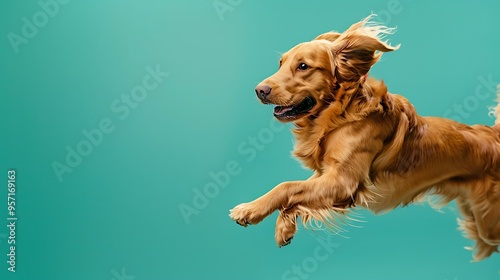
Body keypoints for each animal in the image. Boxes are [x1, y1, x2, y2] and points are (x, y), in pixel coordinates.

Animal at [229, 15, 500, 260]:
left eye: (303, 66)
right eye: (280, 63)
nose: (259, 90)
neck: (341, 113)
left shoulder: (343, 181)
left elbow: (286, 186)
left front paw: (250, 210)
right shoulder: (328, 174)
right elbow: (295, 191)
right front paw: (284, 228)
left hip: (489, 224)